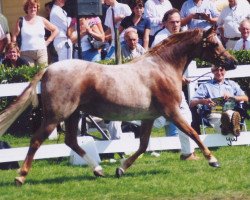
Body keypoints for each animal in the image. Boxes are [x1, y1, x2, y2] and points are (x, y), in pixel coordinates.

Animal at [0, 27, 236, 186]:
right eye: (214, 44)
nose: (232, 62)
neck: (162, 68)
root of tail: (49, 69)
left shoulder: (149, 117)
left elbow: (143, 145)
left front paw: (120, 169)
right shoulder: (172, 112)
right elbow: (193, 133)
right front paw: (213, 160)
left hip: (73, 114)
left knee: (71, 141)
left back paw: (98, 170)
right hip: (55, 116)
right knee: (36, 140)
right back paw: (20, 177)